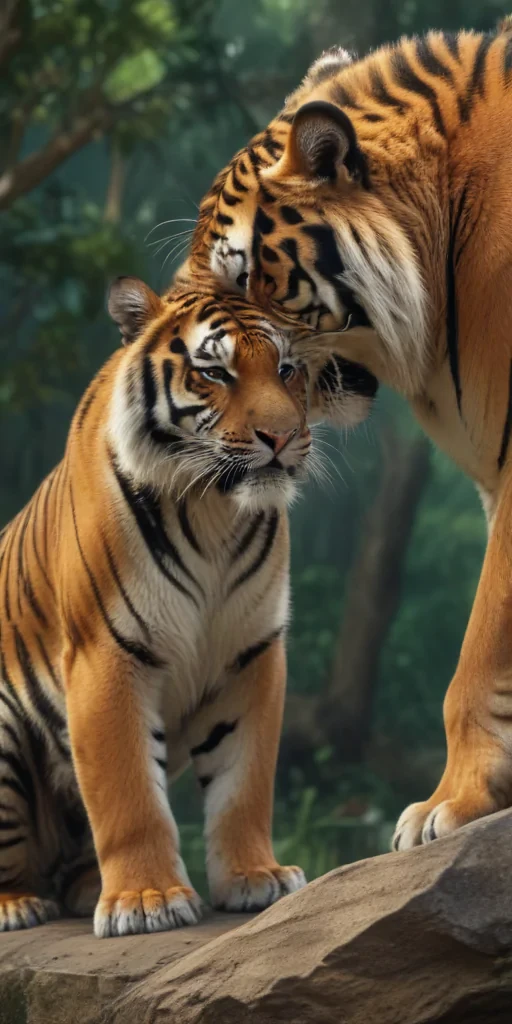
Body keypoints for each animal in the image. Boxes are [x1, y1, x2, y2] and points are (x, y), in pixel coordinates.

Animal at [0, 275, 377, 935]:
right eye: (216, 373)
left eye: (286, 370)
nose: (282, 437)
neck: (212, 511)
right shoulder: (108, 654)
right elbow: (127, 791)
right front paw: (147, 900)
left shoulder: (251, 653)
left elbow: (243, 783)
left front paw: (257, 878)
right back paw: (19, 903)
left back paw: (87, 888)